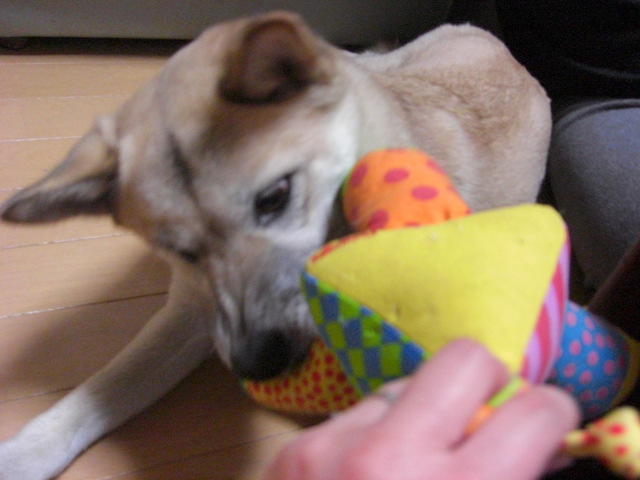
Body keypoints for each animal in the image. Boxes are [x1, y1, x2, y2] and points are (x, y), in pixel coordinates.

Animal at [0, 11, 551, 479]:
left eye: (275, 197)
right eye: (178, 248)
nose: (258, 364)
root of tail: (492, 40)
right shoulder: (193, 311)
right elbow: (104, 387)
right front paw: (25, 454)